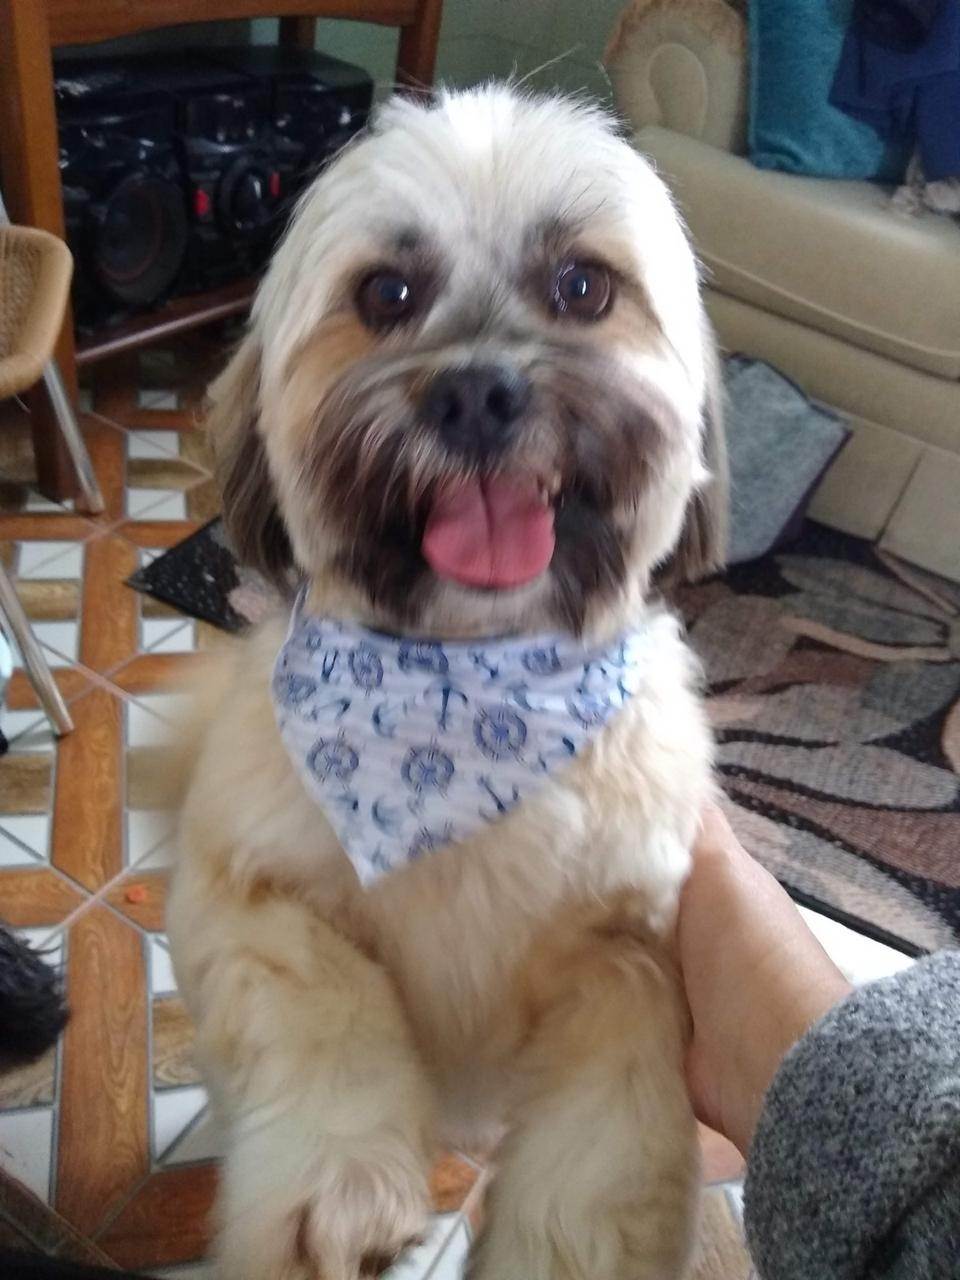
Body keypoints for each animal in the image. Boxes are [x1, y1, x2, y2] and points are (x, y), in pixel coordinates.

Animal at [169, 85, 725, 1280]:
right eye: (387, 293)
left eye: (582, 286)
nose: (479, 392)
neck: (461, 693)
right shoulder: (249, 890)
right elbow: (328, 1007)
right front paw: (340, 1193)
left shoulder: (638, 945)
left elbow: (611, 1119)